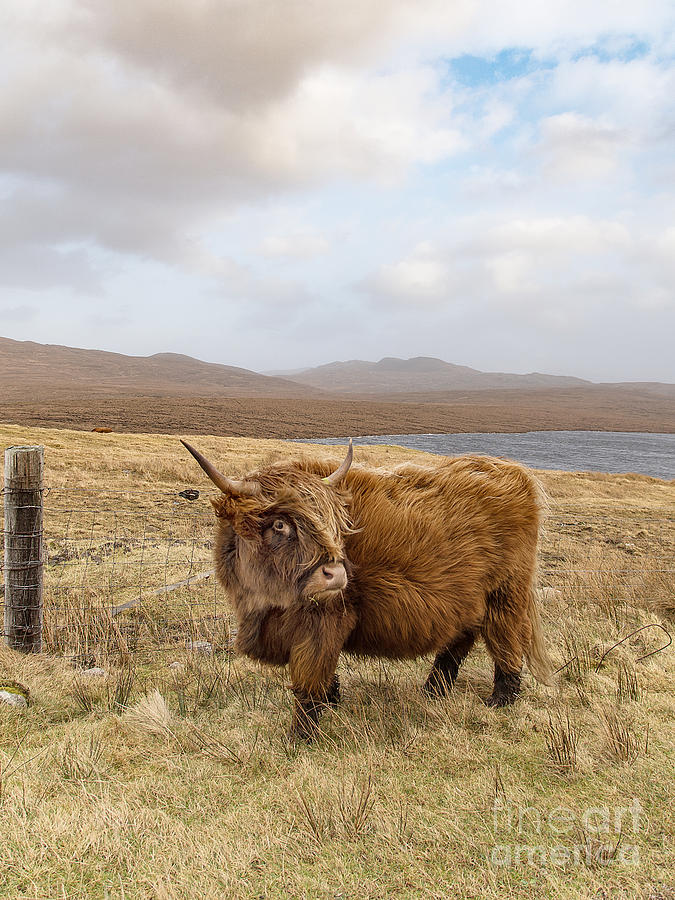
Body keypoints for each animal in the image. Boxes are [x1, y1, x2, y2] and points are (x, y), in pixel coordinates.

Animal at [181, 440, 556, 740]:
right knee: (460, 638)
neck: (263, 604)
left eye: (334, 523)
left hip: (506, 592)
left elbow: (309, 680)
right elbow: (325, 675)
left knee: (507, 639)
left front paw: (300, 736)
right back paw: (433, 691)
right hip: (468, 598)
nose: (335, 574)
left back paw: (500, 699)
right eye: (279, 524)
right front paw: (332, 702)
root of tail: (510, 471)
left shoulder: (324, 621)